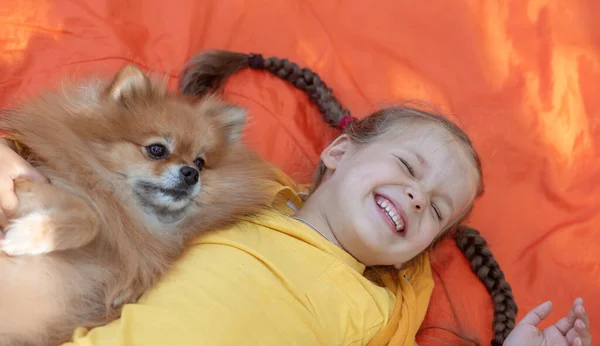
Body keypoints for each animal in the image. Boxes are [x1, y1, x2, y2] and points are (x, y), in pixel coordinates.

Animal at [0, 65, 276, 346]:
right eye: (157, 149)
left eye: (200, 163)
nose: (191, 174)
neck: (124, 209)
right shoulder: (42, 180)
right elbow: (89, 217)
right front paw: (25, 236)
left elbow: (91, 220)